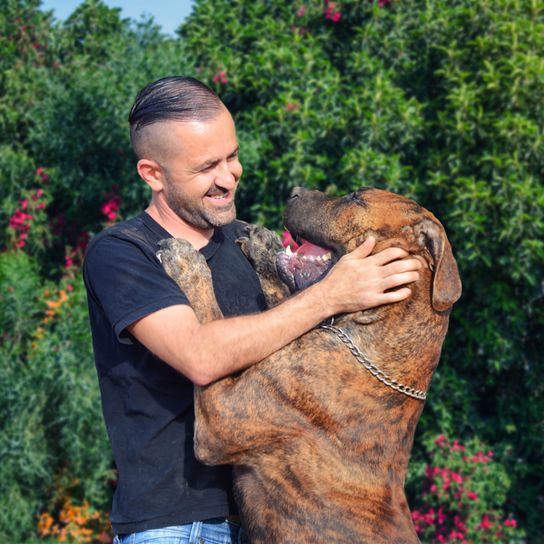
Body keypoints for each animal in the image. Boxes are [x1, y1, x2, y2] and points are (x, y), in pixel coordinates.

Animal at [157, 188, 460, 544]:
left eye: (355, 198)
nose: (294, 191)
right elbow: (285, 299)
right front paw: (264, 248)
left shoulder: (221, 415)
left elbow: (210, 316)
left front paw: (186, 261)